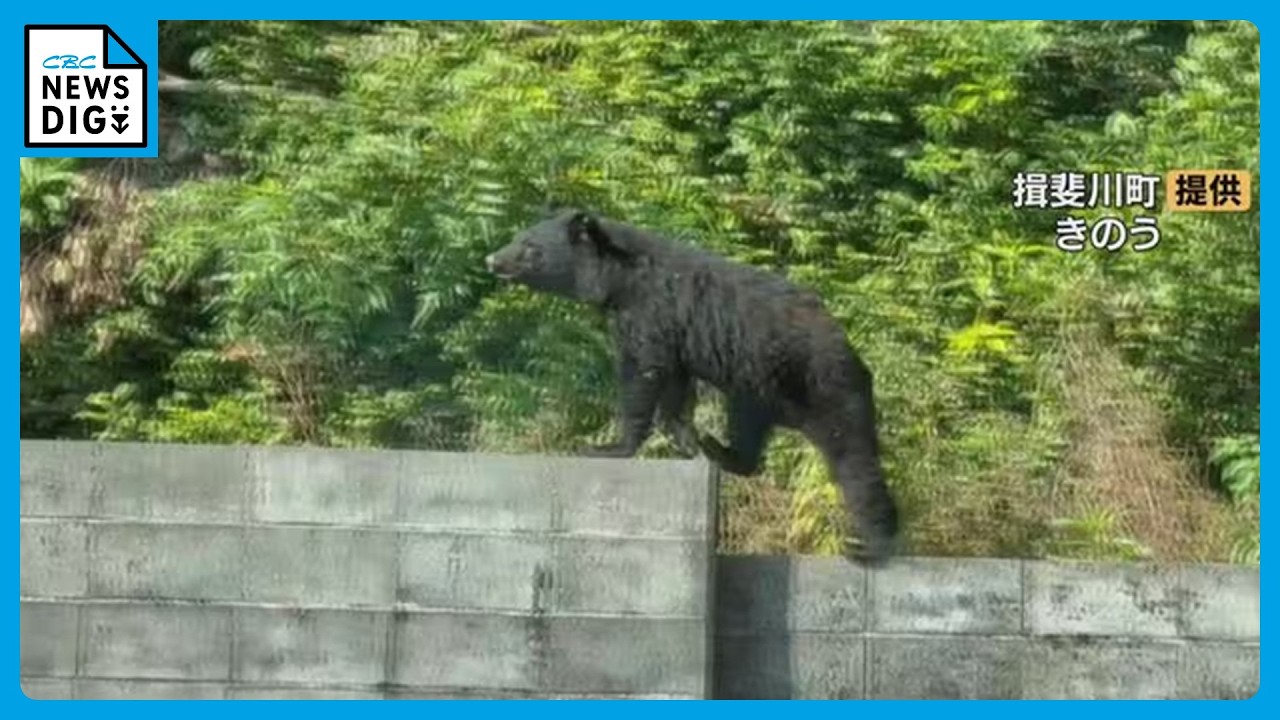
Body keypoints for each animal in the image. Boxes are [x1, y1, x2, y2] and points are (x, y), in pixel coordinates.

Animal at [485, 208, 900, 565]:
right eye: (518, 237)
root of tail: (846, 345)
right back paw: (718, 449)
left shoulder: (650, 311)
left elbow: (643, 371)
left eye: (529, 246)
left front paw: (608, 446)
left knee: (854, 461)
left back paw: (871, 545)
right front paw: (684, 438)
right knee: (752, 428)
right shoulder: (674, 335)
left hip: (821, 384)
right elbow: (675, 383)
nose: (492, 259)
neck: (619, 280)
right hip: (758, 390)